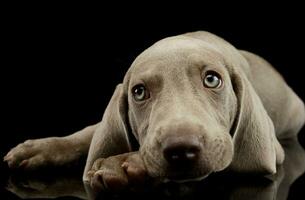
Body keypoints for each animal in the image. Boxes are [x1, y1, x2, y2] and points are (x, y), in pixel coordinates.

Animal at [2, 30, 304, 191]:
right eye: (139, 92)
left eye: (212, 79)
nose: (182, 149)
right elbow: (90, 132)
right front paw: (38, 149)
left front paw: (123, 164)